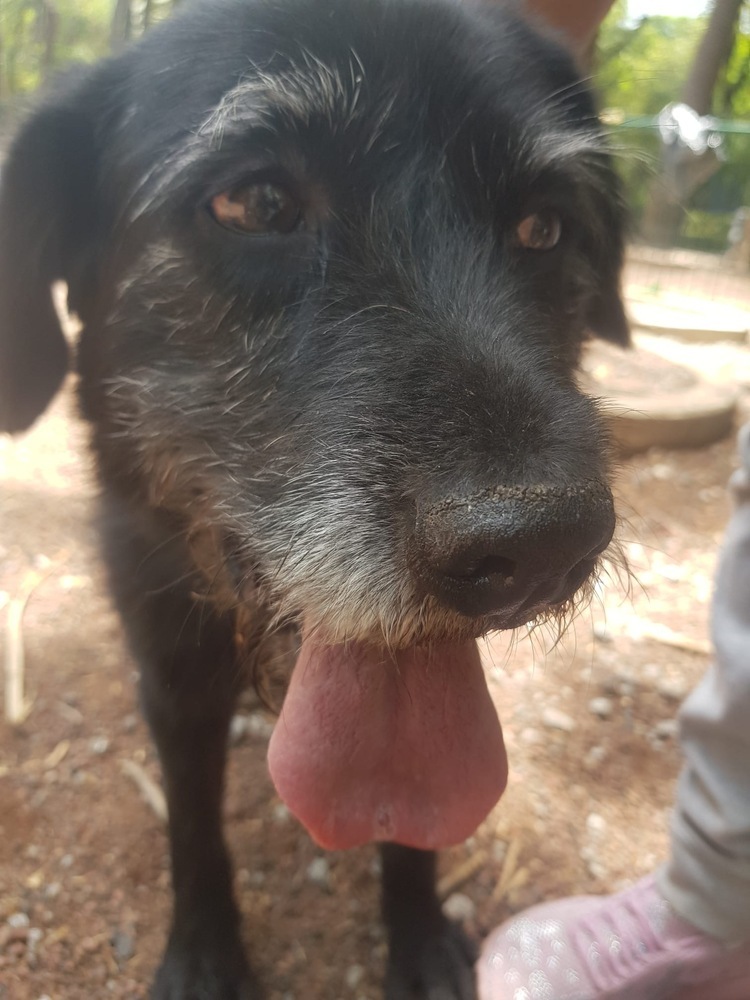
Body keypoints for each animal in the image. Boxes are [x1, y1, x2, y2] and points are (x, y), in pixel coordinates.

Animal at [0, 0, 632, 996]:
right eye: (256, 204)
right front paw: (205, 953)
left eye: (545, 227)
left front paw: (420, 941)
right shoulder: (169, 673)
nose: (541, 550)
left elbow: (412, 832)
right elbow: (193, 824)